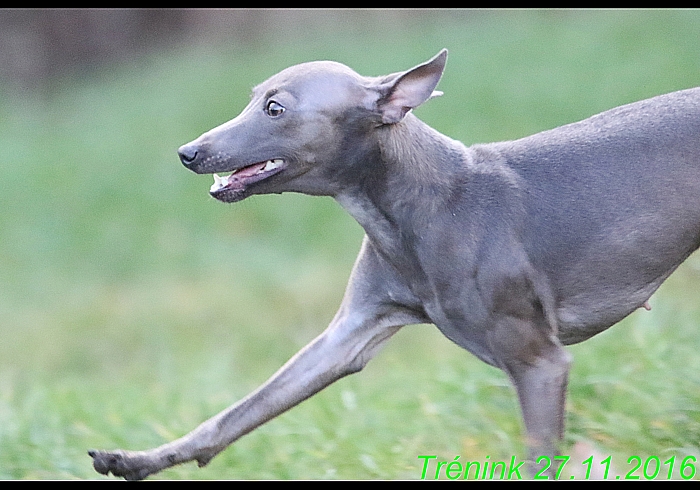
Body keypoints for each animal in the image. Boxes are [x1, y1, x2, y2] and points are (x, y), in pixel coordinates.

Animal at [89, 49, 700, 478]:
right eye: (253, 97)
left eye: (275, 107)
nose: (188, 152)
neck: (426, 204)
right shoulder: (350, 334)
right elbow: (238, 412)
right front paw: (137, 460)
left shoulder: (540, 363)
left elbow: (537, 458)